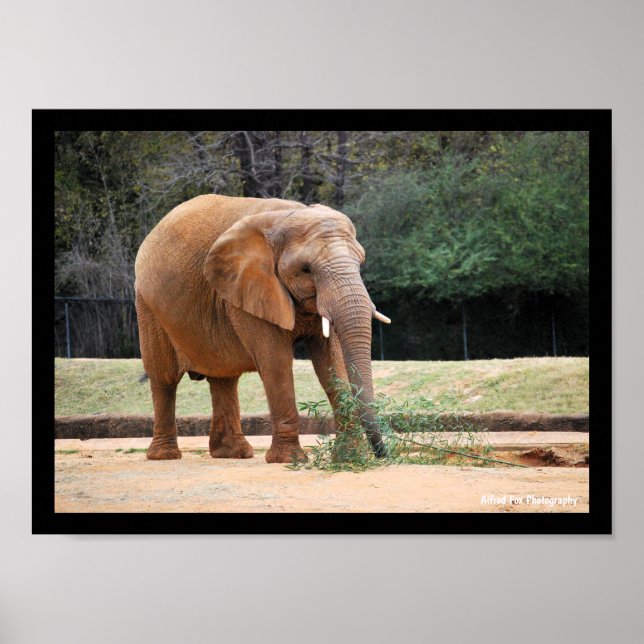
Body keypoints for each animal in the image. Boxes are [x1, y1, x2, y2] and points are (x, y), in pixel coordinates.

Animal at [134, 194, 391, 463]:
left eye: (360, 262)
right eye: (306, 269)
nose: (382, 454)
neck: (288, 215)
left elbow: (331, 361)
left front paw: (349, 457)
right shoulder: (249, 288)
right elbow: (275, 362)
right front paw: (289, 460)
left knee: (224, 378)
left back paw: (233, 454)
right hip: (148, 306)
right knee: (164, 379)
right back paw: (164, 456)